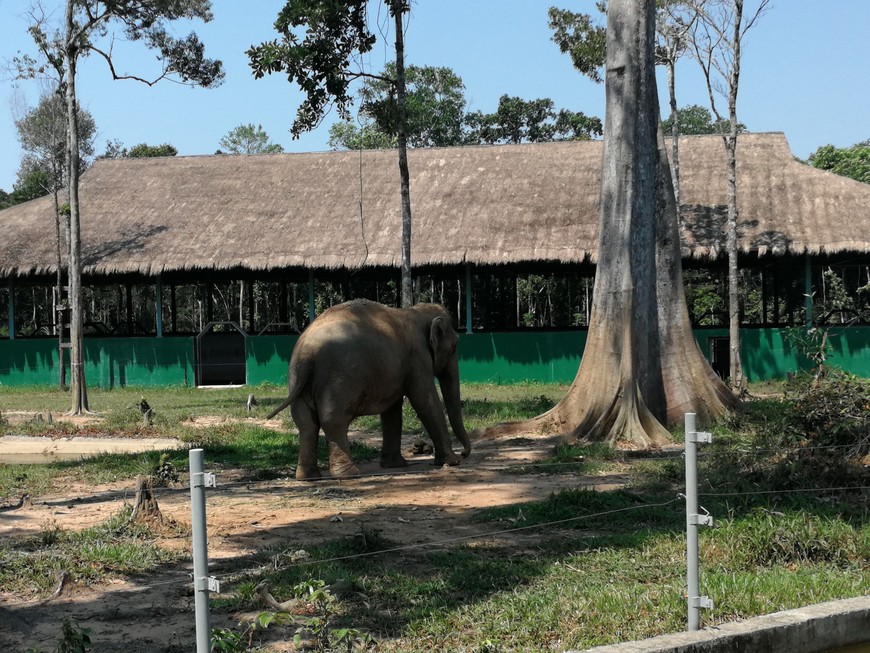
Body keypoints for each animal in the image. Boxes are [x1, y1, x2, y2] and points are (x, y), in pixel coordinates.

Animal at [270, 298, 474, 476]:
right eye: (455, 346)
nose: (464, 453)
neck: (415, 311)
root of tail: (307, 350)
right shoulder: (418, 359)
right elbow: (425, 401)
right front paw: (452, 462)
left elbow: (392, 411)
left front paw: (394, 465)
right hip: (339, 380)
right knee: (333, 420)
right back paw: (348, 473)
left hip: (297, 377)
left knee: (306, 423)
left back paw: (308, 476)